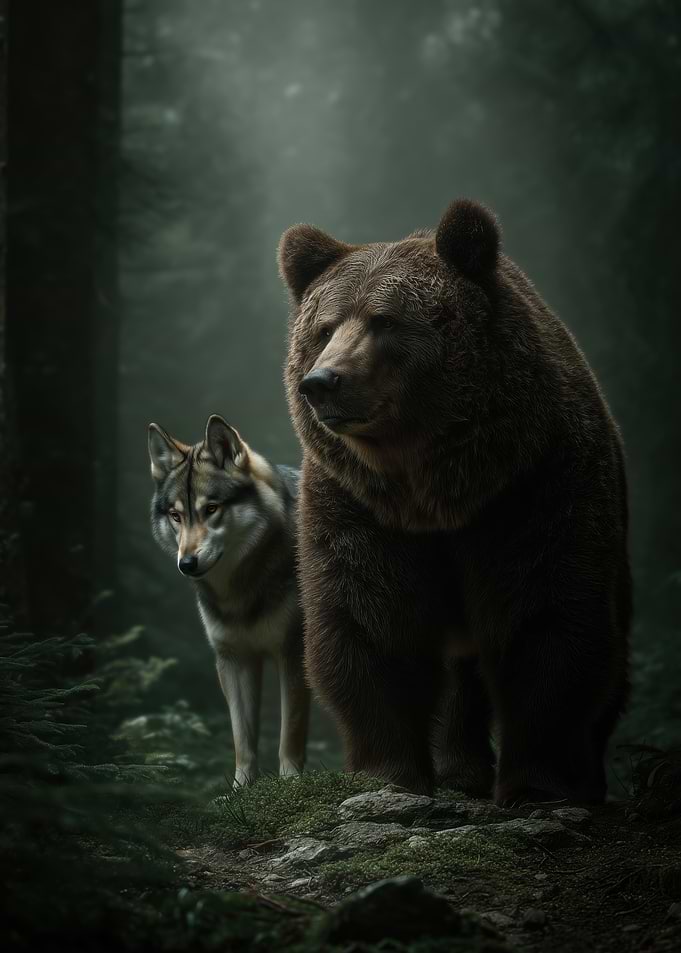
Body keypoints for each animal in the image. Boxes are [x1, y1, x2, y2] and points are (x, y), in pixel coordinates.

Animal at [148, 413, 309, 787]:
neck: (241, 588)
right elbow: (242, 738)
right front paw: (240, 789)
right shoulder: (234, 659)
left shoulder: (292, 653)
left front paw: (291, 783)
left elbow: (290, 732)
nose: (187, 564)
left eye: (211, 509)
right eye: (176, 515)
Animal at [278, 199, 631, 805]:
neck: (436, 491)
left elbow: (547, 617)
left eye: (384, 320)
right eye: (324, 327)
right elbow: (370, 622)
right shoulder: (358, 504)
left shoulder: (536, 486)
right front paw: (389, 772)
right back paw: (460, 769)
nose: (323, 381)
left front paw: (536, 783)